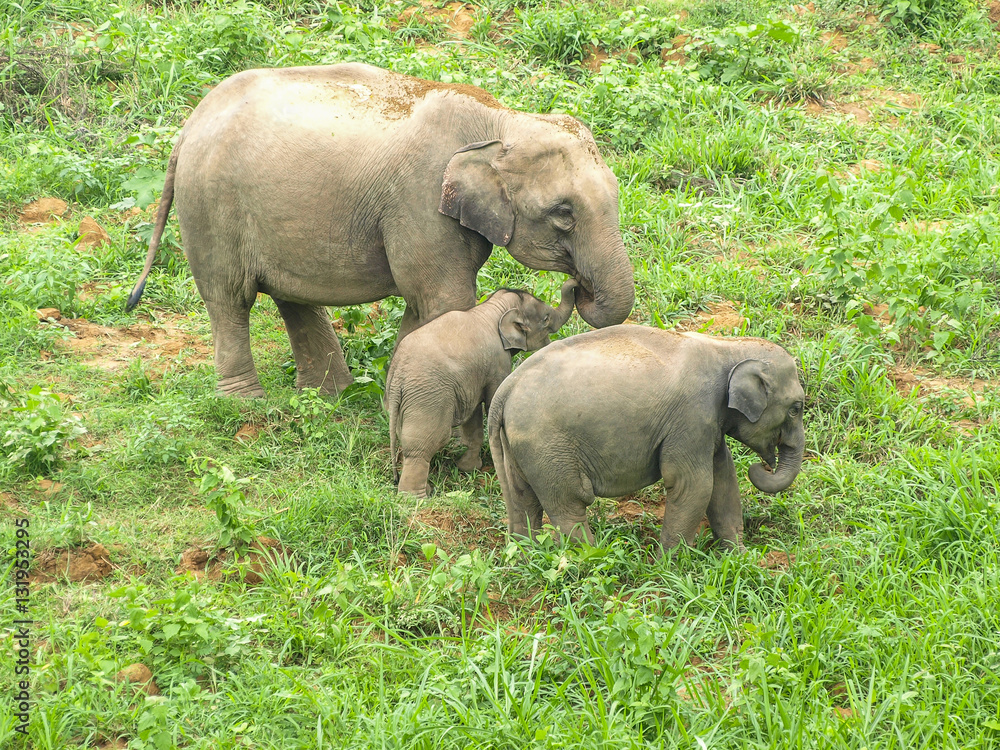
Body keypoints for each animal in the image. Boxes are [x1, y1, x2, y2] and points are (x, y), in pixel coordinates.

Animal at [124, 63, 634, 397]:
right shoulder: (419, 201)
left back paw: (330, 397)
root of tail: (189, 124)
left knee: (291, 298)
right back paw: (247, 404)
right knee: (230, 298)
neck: (501, 120)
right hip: (211, 206)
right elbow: (445, 300)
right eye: (563, 213)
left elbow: (422, 304)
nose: (577, 285)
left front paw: (394, 393)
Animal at [386, 280, 577, 498]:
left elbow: (474, 414)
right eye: (545, 319)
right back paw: (416, 498)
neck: (493, 309)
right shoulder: (498, 362)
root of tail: (398, 373)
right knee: (423, 445)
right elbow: (493, 399)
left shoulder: (471, 380)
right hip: (428, 396)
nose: (576, 284)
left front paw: (467, 468)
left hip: (404, 401)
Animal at [487, 325, 806, 551]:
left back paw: (527, 556)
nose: (762, 466)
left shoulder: (708, 424)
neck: (726, 346)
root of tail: (505, 389)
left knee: (523, 499)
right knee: (568, 505)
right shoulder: (692, 417)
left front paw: (737, 557)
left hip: (518, 446)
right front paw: (671, 566)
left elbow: (723, 479)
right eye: (795, 409)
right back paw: (590, 560)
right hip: (546, 446)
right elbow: (694, 485)